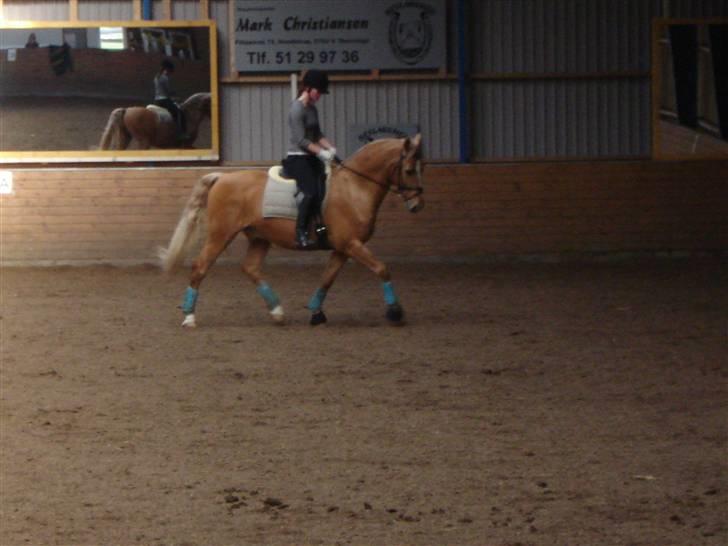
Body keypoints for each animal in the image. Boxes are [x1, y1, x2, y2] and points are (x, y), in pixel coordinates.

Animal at [156, 133, 424, 326]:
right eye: (410, 170)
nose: (417, 205)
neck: (354, 187)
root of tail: (222, 177)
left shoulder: (343, 247)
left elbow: (327, 278)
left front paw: (316, 313)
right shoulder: (351, 244)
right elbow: (382, 269)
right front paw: (395, 312)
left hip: (259, 237)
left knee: (250, 268)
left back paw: (277, 312)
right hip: (220, 235)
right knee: (200, 266)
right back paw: (189, 316)